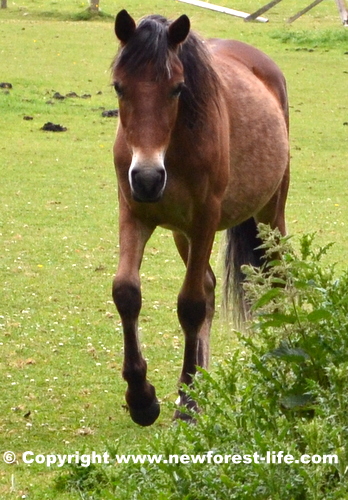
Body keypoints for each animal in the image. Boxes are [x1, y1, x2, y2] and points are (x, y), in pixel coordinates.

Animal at [111, 9, 288, 426]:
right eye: (119, 87)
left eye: (177, 89)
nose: (147, 178)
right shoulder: (134, 212)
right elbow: (126, 292)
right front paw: (143, 399)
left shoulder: (205, 218)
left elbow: (190, 305)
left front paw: (187, 408)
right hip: (183, 234)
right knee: (208, 287)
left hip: (270, 215)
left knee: (278, 278)